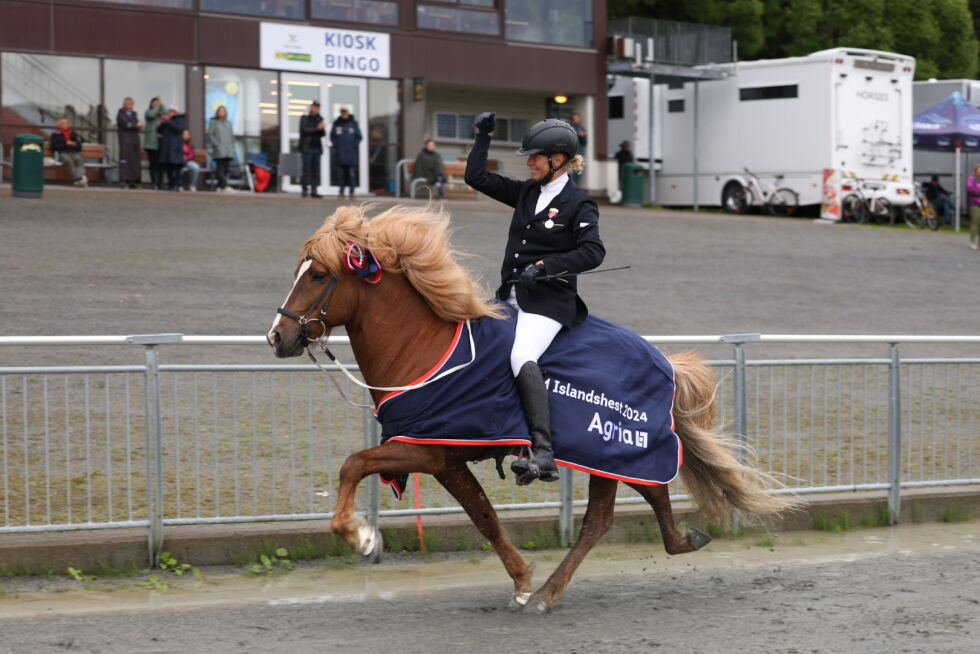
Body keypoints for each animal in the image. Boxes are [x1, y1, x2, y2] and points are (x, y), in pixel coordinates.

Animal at [266, 206, 788, 616]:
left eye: (317, 275)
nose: (277, 336)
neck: (425, 349)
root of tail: (663, 360)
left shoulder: (423, 450)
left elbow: (353, 464)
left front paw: (361, 537)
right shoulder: (445, 459)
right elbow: (483, 517)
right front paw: (519, 579)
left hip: (613, 450)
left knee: (616, 511)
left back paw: (561, 589)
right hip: (607, 456)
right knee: (627, 508)